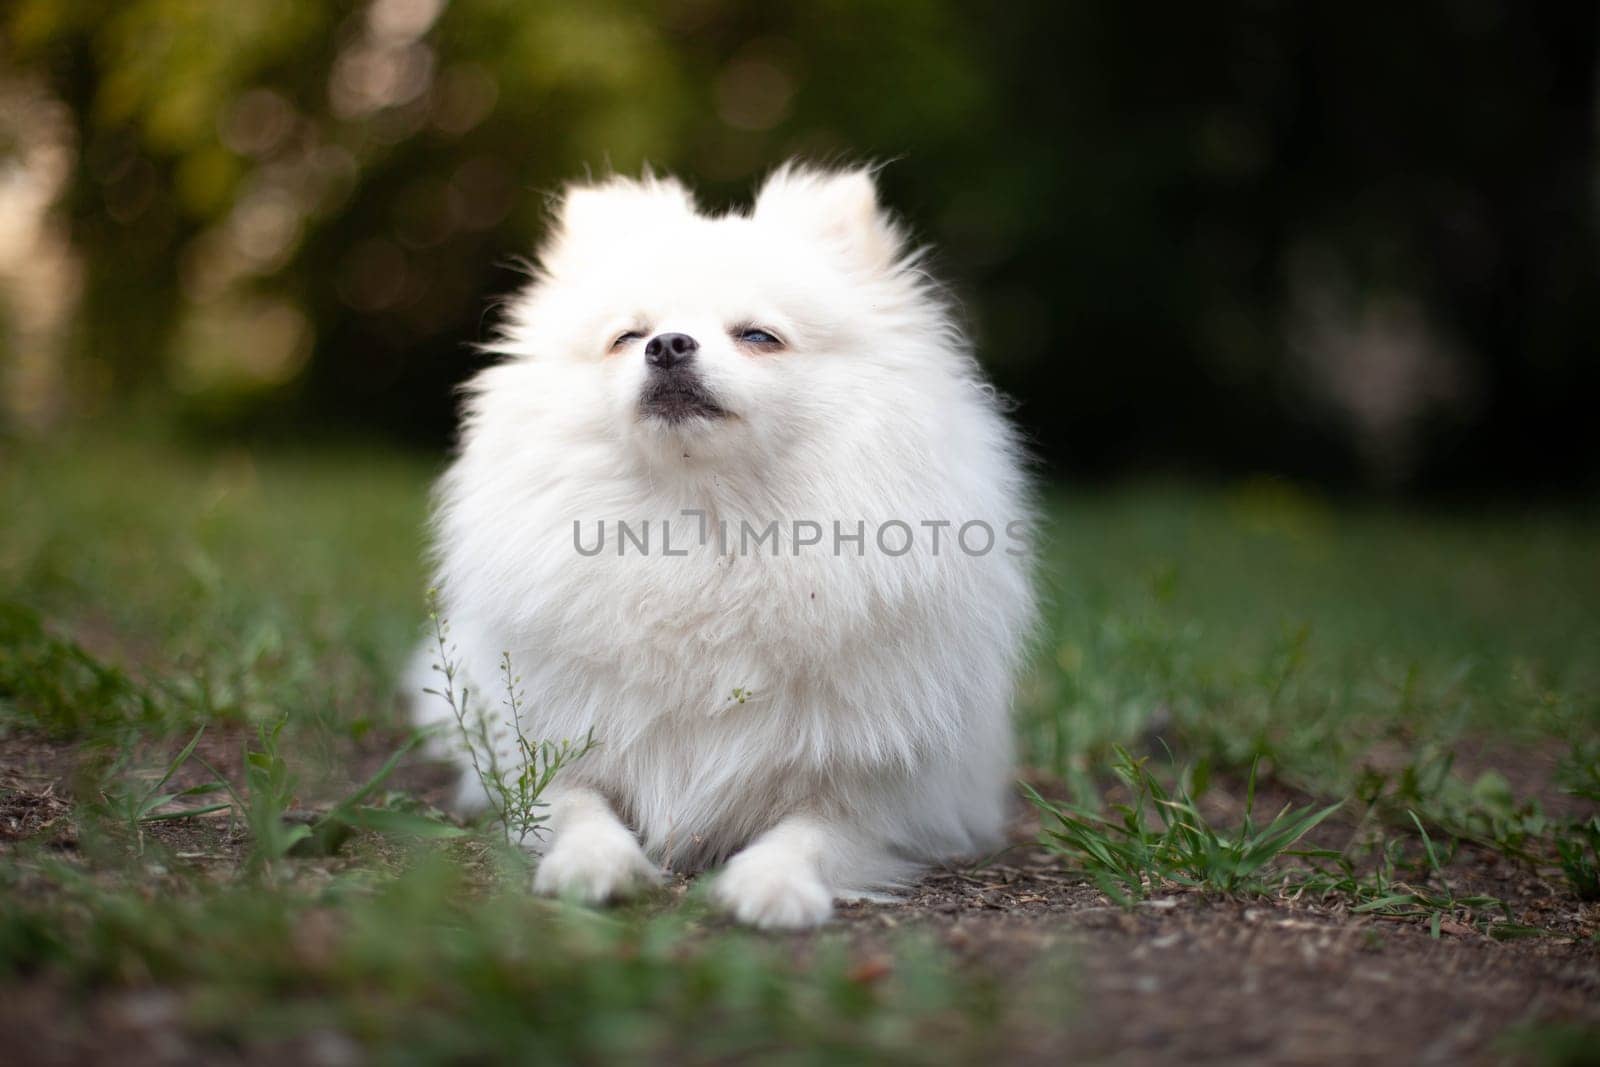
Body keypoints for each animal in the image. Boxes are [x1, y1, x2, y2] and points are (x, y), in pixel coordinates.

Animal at [409, 163, 1036, 927]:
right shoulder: (550, 757)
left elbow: (812, 831)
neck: (705, 527)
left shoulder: (880, 796)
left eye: (759, 336)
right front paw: (595, 864)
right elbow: (577, 806)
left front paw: (770, 883)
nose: (669, 344)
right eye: (629, 337)